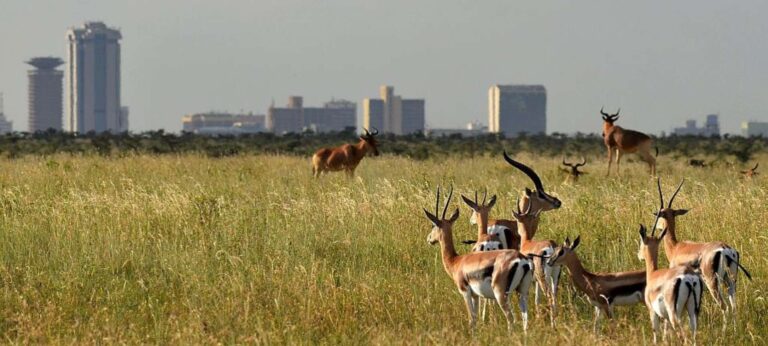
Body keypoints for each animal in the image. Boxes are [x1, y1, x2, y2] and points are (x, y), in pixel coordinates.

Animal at [426, 187, 536, 332]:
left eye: (433, 225)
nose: (429, 238)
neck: (457, 261)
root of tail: (521, 260)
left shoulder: (465, 292)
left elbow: (472, 319)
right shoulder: (476, 295)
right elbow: (476, 318)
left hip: (501, 294)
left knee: (511, 318)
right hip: (522, 292)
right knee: (525, 318)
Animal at [652, 178, 752, 328]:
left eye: (660, 214)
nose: (657, 226)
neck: (676, 248)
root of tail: (725, 249)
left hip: (713, 282)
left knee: (724, 307)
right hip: (731, 281)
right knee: (734, 306)